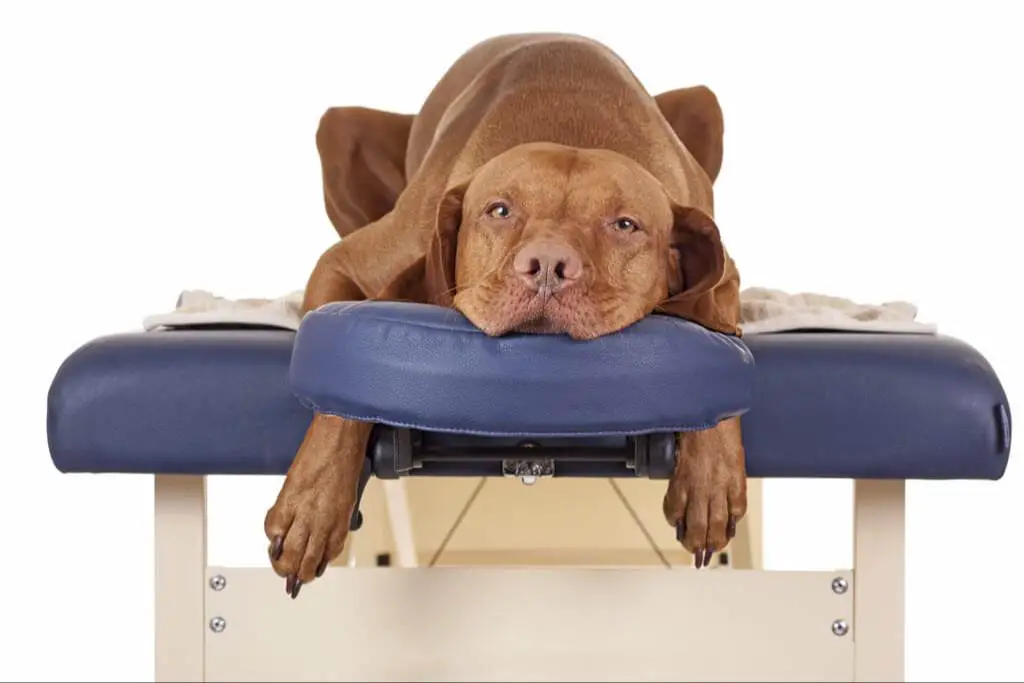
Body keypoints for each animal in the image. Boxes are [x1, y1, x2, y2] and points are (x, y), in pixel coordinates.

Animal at [264, 33, 745, 598]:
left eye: (625, 224)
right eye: (499, 211)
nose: (548, 266)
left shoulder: (726, 276)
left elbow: (719, 340)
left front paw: (710, 481)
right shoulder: (343, 263)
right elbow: (340, 381)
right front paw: (312, 506)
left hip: (703, 102)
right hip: (336, 127)